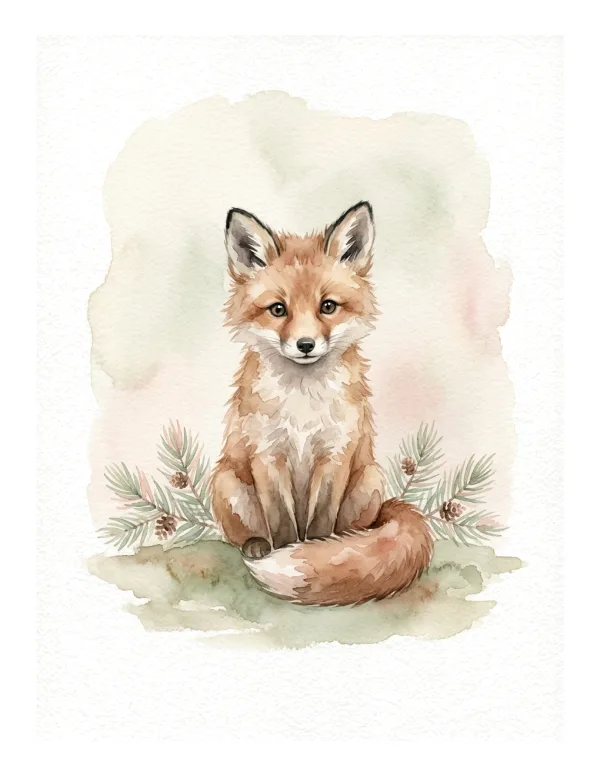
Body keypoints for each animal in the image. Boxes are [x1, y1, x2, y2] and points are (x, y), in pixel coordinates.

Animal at [210, 201, 433, 605]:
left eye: (328, 306)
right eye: (278, 310)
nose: (305, 345)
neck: (302, 403)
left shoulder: (334, 454)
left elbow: (319, 525)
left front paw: (317, 554)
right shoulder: (268, 454)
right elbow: (281, 522)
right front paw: (285, 551)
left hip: (369, 480)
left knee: (353, 529)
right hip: (226, 481)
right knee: (246, 533)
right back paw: (256, 545)